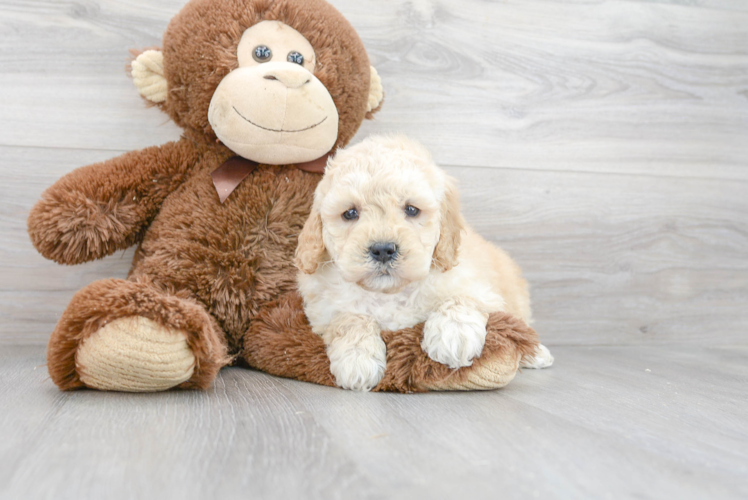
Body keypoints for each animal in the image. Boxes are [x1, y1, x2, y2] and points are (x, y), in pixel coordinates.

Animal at [296, 136, 552, 390]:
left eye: (411, 209)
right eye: (350, 213)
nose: (383, 250)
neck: (389, 293)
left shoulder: (480, 288)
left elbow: (461, 298)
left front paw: (454, 334)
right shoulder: (324, 310)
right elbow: (348, 318)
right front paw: (357, 359)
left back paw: (538, 354)